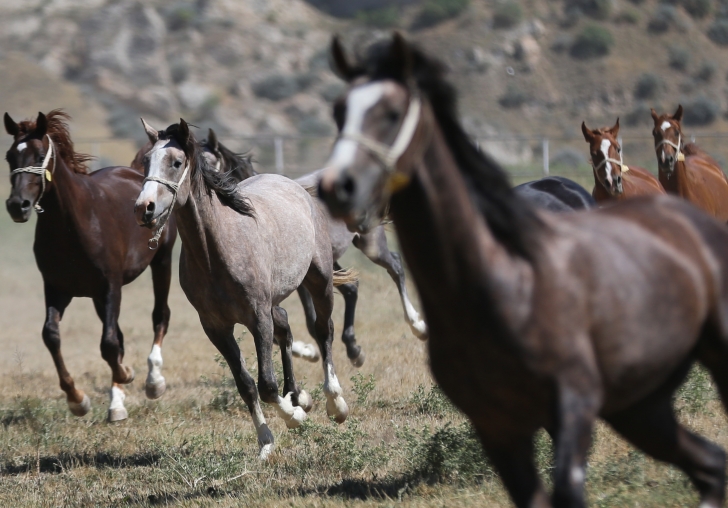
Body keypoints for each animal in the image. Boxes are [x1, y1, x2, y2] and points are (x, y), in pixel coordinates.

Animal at [4, 110, 178, 420]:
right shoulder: (57, 289)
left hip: (162, 261)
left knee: (160, 315)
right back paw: (117, 405)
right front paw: (77, 399)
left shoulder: (111, 286)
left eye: (39, 155)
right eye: (9, 156)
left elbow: (108, 345)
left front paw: (128, 374)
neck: (73, 225)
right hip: (97, 296)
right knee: (118, 335)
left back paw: (153, 382)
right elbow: (52, 336)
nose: (17, 205)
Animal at [135, 120, 352, 460]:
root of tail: (294, 186)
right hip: (276, 300)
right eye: (145, 161)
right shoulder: (216, 327)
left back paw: (335, 403)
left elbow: (266, 384)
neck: (215, 253)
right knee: (286, 328)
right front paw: (266, 440)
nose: (144, 207)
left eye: (176, 162)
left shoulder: (257, 318)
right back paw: (299, 395)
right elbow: (246, 385)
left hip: (319, 281)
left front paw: (294, 417)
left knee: (323, 330)